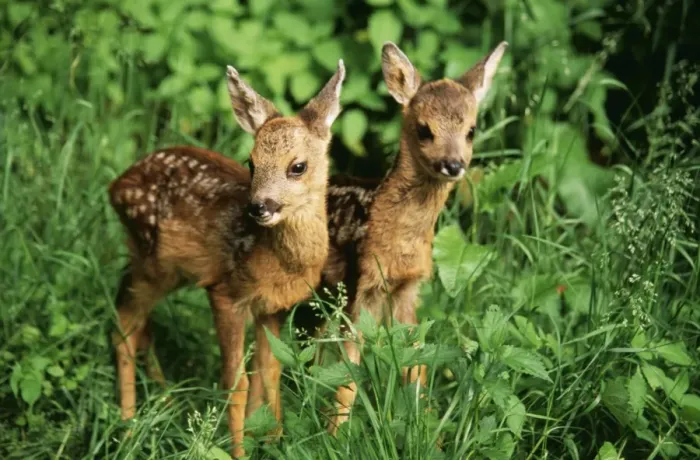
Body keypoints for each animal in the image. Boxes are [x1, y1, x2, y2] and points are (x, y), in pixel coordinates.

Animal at [108, 60, 345, 457]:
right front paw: (239, 451)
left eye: (297, 166)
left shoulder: (272, 307)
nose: (259, 207)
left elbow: (270, 372)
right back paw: (128, 427)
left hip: (162, 268)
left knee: (140, 323)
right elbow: (237, 384)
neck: (282, 263)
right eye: (251, 162)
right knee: (123, 324)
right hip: (152, 262)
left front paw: (274, 442)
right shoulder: (226, 293)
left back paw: (164, 402)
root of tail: (115, 186)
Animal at [310, 41, 509, 434]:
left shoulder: (407, 290)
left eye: (472, 130)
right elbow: (348, 376)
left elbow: (415, 364)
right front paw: (335, 436)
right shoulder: (361, 286)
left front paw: (427, 430)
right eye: (424, 129)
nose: (454, 164)